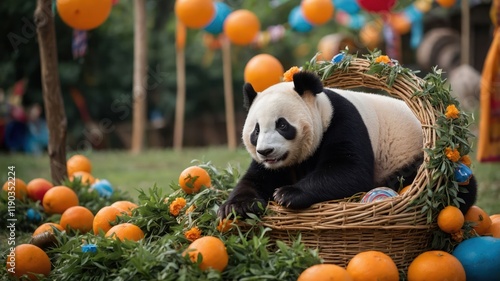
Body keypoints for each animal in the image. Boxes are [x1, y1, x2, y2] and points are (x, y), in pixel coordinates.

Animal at [218, 70, 476, 219]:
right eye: (256, 130)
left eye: (282, 125)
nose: (266, 151)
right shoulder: (274, 165)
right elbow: (256, 178)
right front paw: (237, 207)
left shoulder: (344, 122)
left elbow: (349, 171)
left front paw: (287, 194)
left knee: (459, 189)